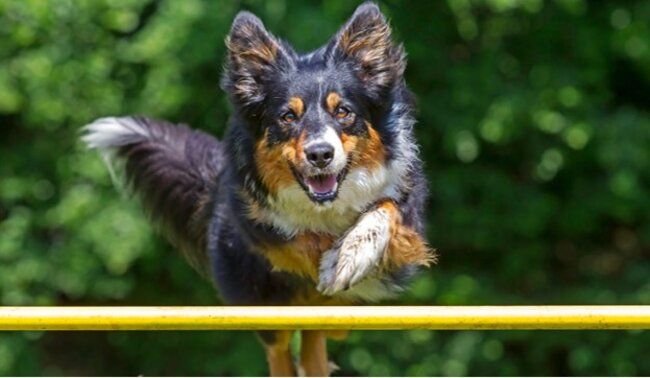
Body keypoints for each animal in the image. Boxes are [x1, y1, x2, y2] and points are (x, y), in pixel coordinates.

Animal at [83, 2, 432, 376]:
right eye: (288, 116)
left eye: (343, 111)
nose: (320, 154)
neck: (325, 204)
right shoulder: (253, 220)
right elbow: (295, 238)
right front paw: (330, 256)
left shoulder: (405, 203)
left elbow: (385, 210)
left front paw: (348, 255)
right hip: (261, 302)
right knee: (280, 349)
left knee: (314, 342)